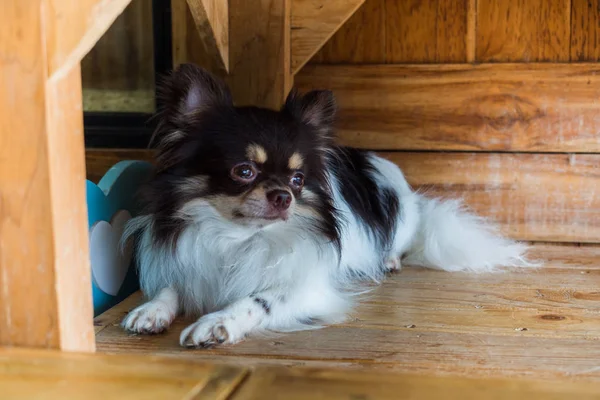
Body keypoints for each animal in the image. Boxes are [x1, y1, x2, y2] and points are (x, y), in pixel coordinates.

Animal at [122, 63, 528, 346]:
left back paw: (389, 260)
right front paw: (150, 309)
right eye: (244, 171)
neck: (237, 236)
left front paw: (217, 322)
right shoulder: (187, 263)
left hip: (403, 221)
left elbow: (257, 299)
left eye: (298, 180)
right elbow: (171, 286)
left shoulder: (305, 288)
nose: (283, 195)